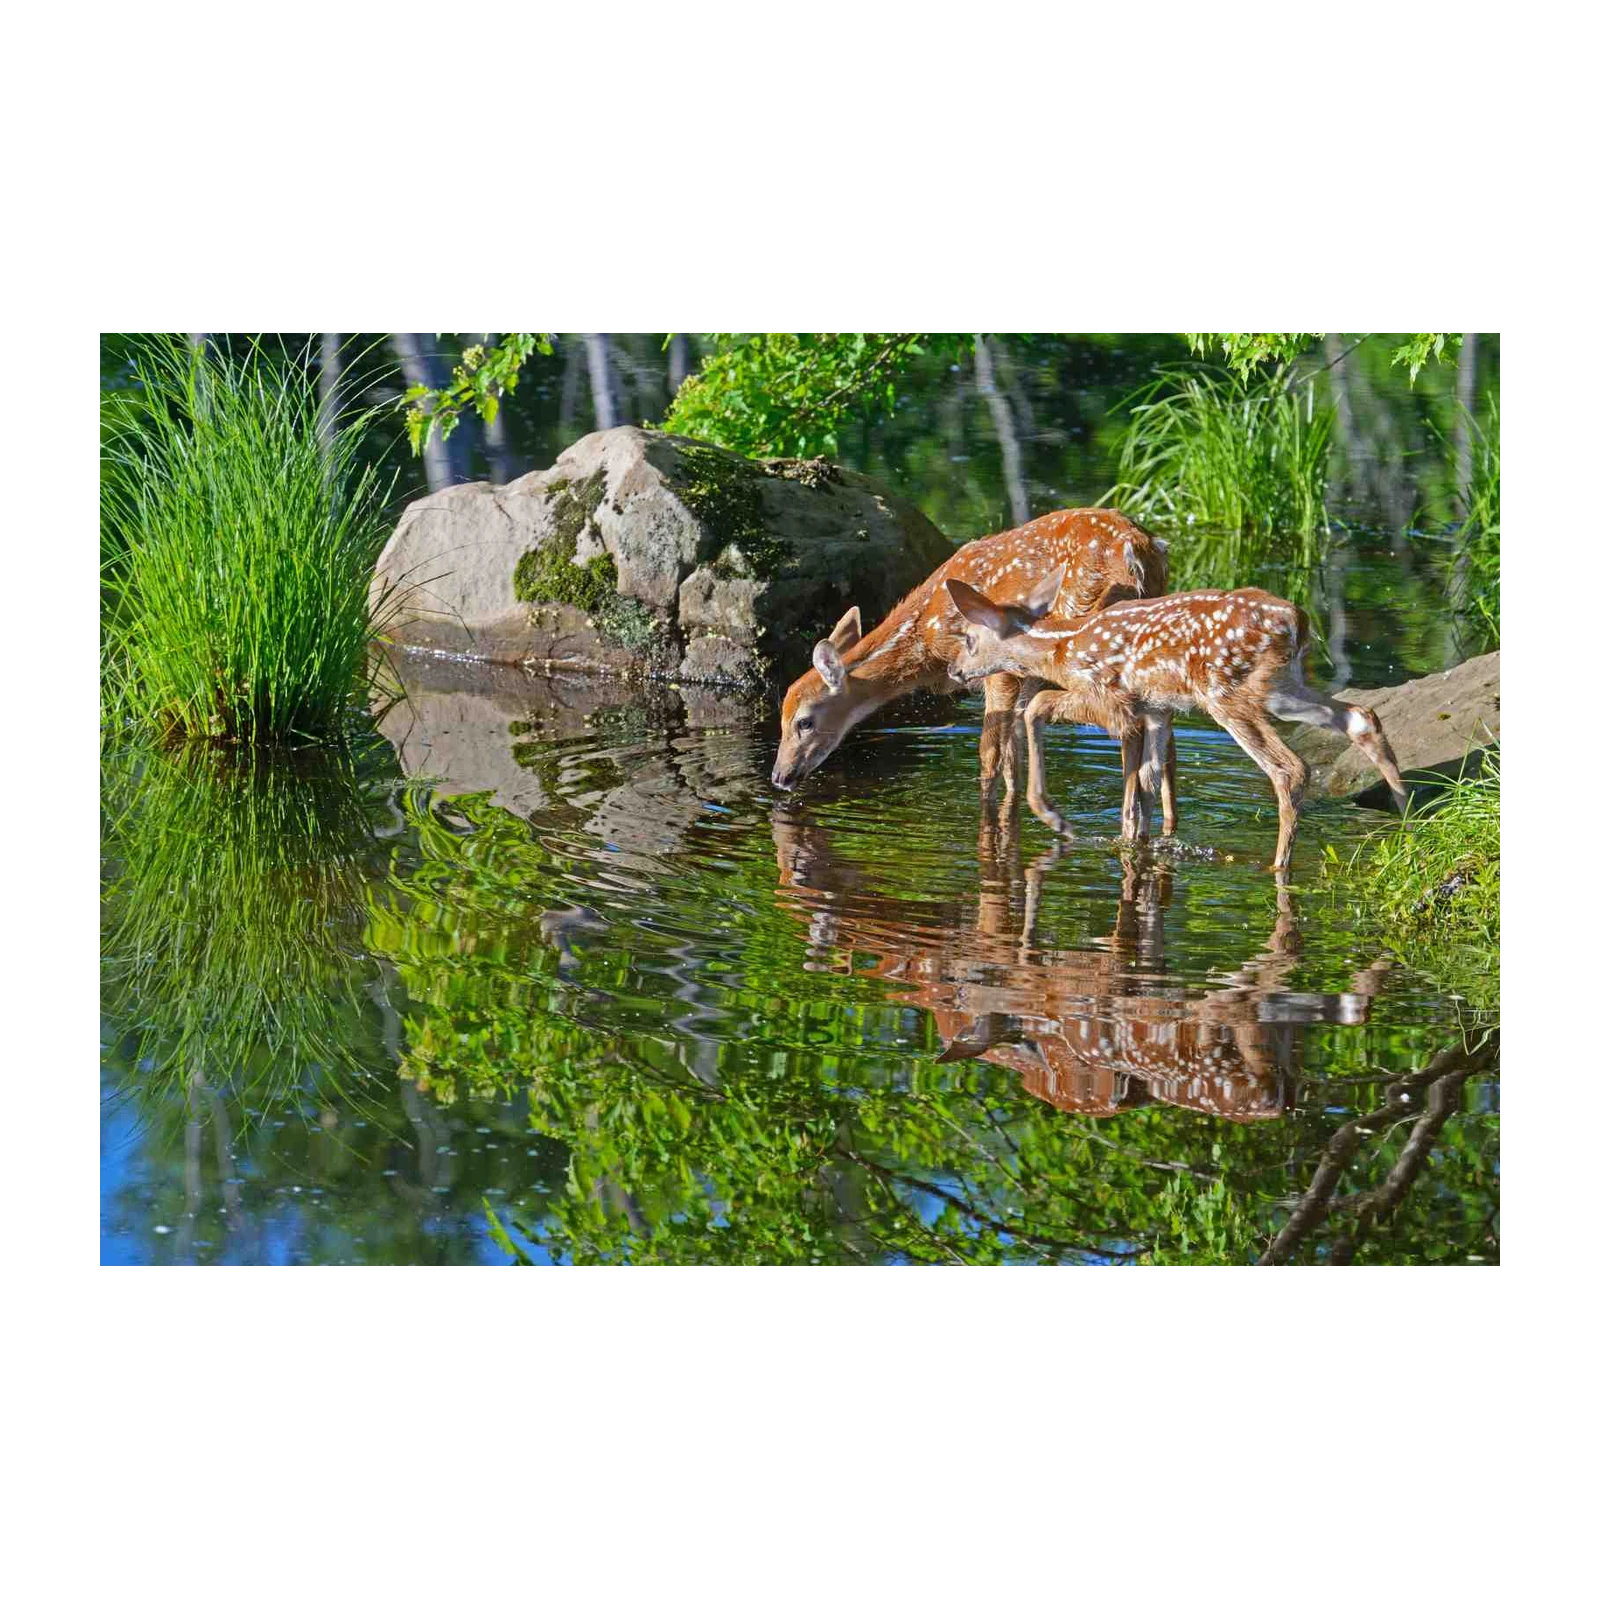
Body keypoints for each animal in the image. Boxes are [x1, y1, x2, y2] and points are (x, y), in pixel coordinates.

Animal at [772, 508, 1179, 834]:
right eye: (781, 717)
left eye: (804, 721)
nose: (779, 776)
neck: (927, 637)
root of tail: (1136, 550)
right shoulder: (1024, 680)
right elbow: (1013, 758)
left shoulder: (1000, 670)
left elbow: (989, 753)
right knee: (1165, 733)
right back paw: (1166, 828)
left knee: (1127, 723)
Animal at [942, 571, 1409, 871]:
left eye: (969, 638)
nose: (954, 670)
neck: (1062, 647)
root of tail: (1297, 620)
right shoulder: (1154, 708)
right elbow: (1147, 784)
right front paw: (1137, 845)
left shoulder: (1111, 697)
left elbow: (1037, 704)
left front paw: (1056, 817)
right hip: (1279, 685)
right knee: (1360, 716)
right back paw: (1407, 818)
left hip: (1226, 692)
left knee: (1290, 768)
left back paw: (1279, 865)